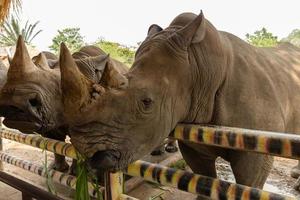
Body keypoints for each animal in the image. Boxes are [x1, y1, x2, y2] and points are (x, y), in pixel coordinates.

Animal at [58, 10, 300, 191]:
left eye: (147, 102)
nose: (89, 152)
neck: (199, 66)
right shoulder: (193, 137)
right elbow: (204, 180)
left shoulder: (255, 152)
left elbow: (248, 186)